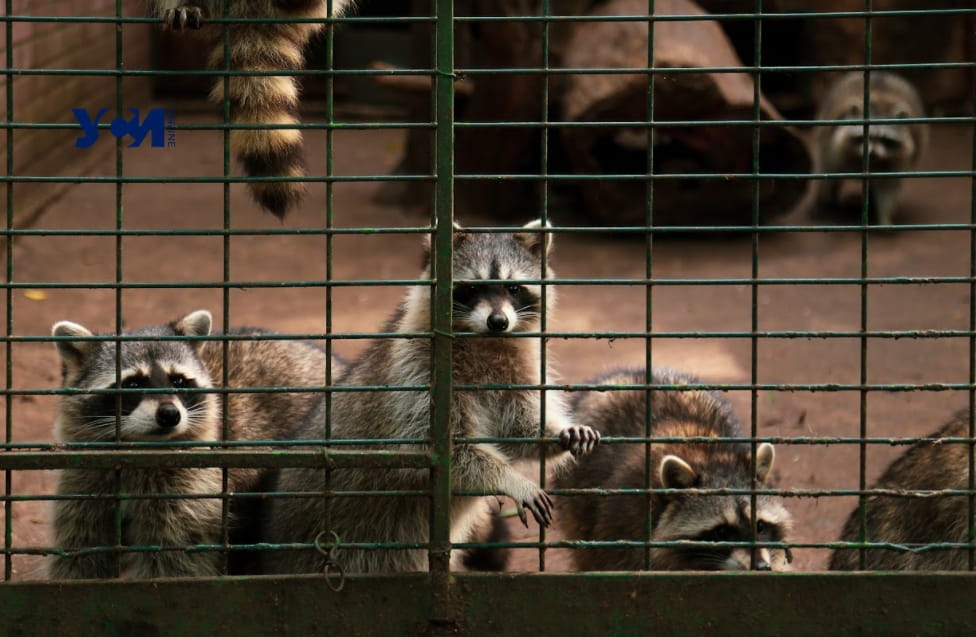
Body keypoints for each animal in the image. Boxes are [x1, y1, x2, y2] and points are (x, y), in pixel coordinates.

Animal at [49, 310, 340, 580]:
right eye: (132, 383)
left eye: (177, 380)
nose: (169, 414)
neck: (142, 449)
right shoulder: (85, 480)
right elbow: (79, 550)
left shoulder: (191, 489)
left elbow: (175, 559)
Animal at [260, 221, 600, 572]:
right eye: (472, 289)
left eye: (514, 288)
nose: (498, 322)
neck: (484, 340)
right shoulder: (417, 372)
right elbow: (435, 449)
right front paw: (507, 477)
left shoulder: (515, 370)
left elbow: (517, 426)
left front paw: (556, 432)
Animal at [812, 71, 928, 226]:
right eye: (864, 137)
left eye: (885, 140)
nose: (872, 154)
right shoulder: (834, 147)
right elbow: (829, 173)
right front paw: (824, 201)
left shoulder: (897, 160)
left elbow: (888, 187)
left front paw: (884, 216)